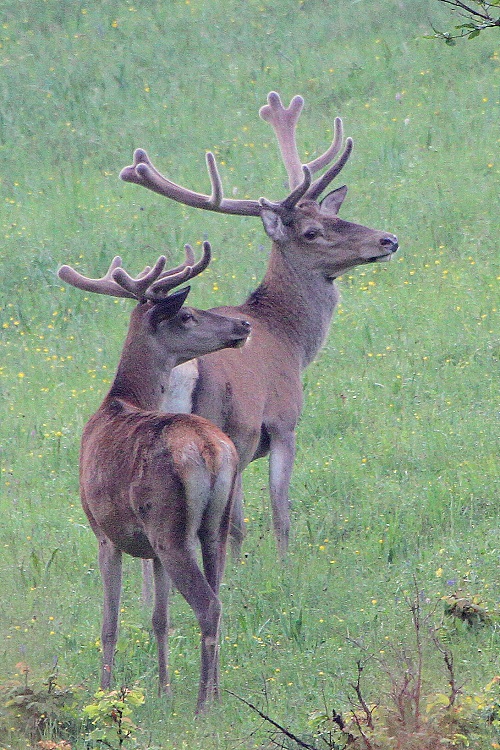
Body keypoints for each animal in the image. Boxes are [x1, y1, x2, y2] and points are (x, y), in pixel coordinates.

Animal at [57, 244, 250, 712]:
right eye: (188, 316)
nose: (243, 324)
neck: (120, 401)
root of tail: (211, 450)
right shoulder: (150, 552)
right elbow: (159, 618)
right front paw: (163, 689)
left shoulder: (104, 533)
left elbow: (109, 624)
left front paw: (105, 693)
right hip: (210, 527)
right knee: (219, 595)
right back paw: (217, 693)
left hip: (169, 528)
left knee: (207, 605)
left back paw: (202, 706)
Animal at [120, 91, 398, 560]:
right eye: (311, 231)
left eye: (335, 214)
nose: (388, 240)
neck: (291, 340)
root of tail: (179, 375)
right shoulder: (283, 422)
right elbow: (278, 513)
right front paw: (285, 566)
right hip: (223, 428)